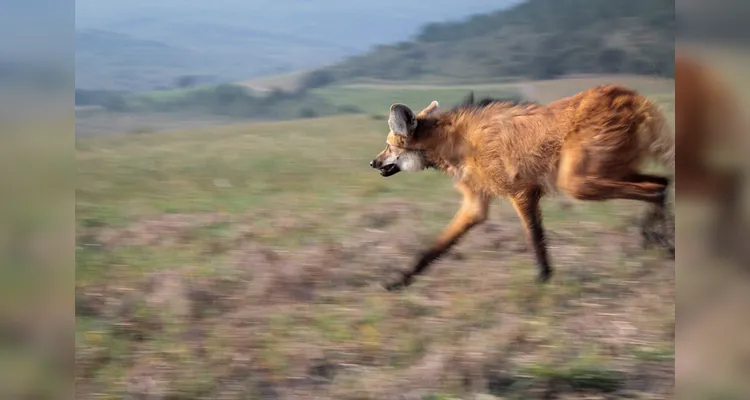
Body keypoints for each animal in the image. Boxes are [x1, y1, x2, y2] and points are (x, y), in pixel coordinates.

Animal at [370, 84, 676, 290]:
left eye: (388, 146)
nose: (373, 162)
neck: (454, 141)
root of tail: (631, 96)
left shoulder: (522, 192)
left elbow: (535, 239)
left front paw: (543, 279)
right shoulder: (476, 204)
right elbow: (432, 249)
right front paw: (399, 280)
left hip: (578, 182)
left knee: (655, 189)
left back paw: (664, 242)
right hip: (605, 172)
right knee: (661, 182)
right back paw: (657, 238)